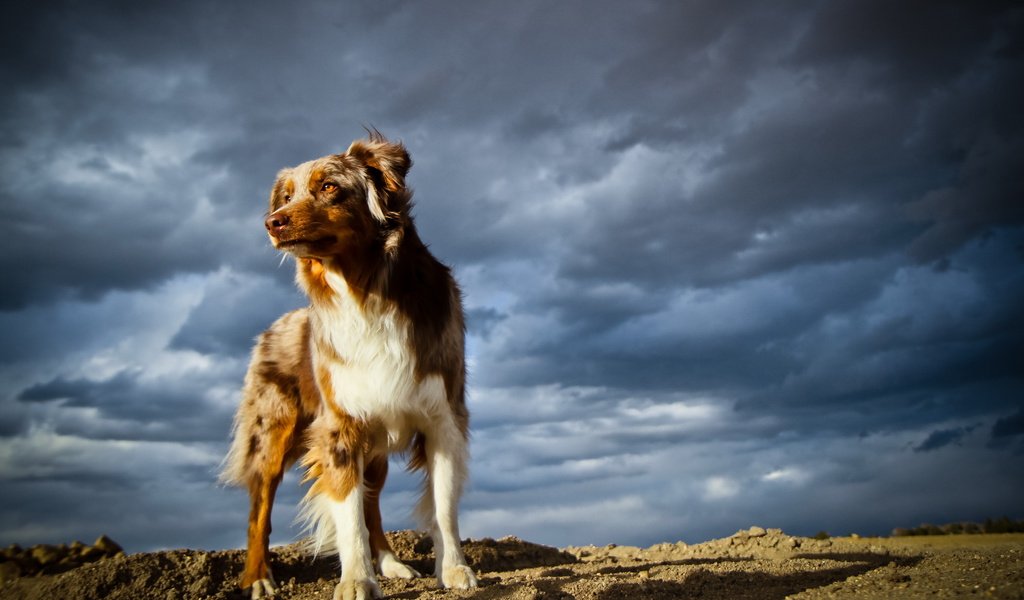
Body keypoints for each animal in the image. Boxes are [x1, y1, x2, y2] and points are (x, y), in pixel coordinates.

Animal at [222, 132, 477, 597]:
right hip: (271, 434)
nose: (272, 222)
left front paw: (453, 569)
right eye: (286, 196)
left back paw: (391, 563)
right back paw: (258, 577)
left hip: (375, 446)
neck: (365, 291)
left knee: (372, 503)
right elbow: (349, 516)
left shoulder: (444, 419)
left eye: (329, 187)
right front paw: (356, 579)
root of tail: (272, 327)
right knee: (259, 510)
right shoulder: (339, 428)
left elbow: (443, 506)